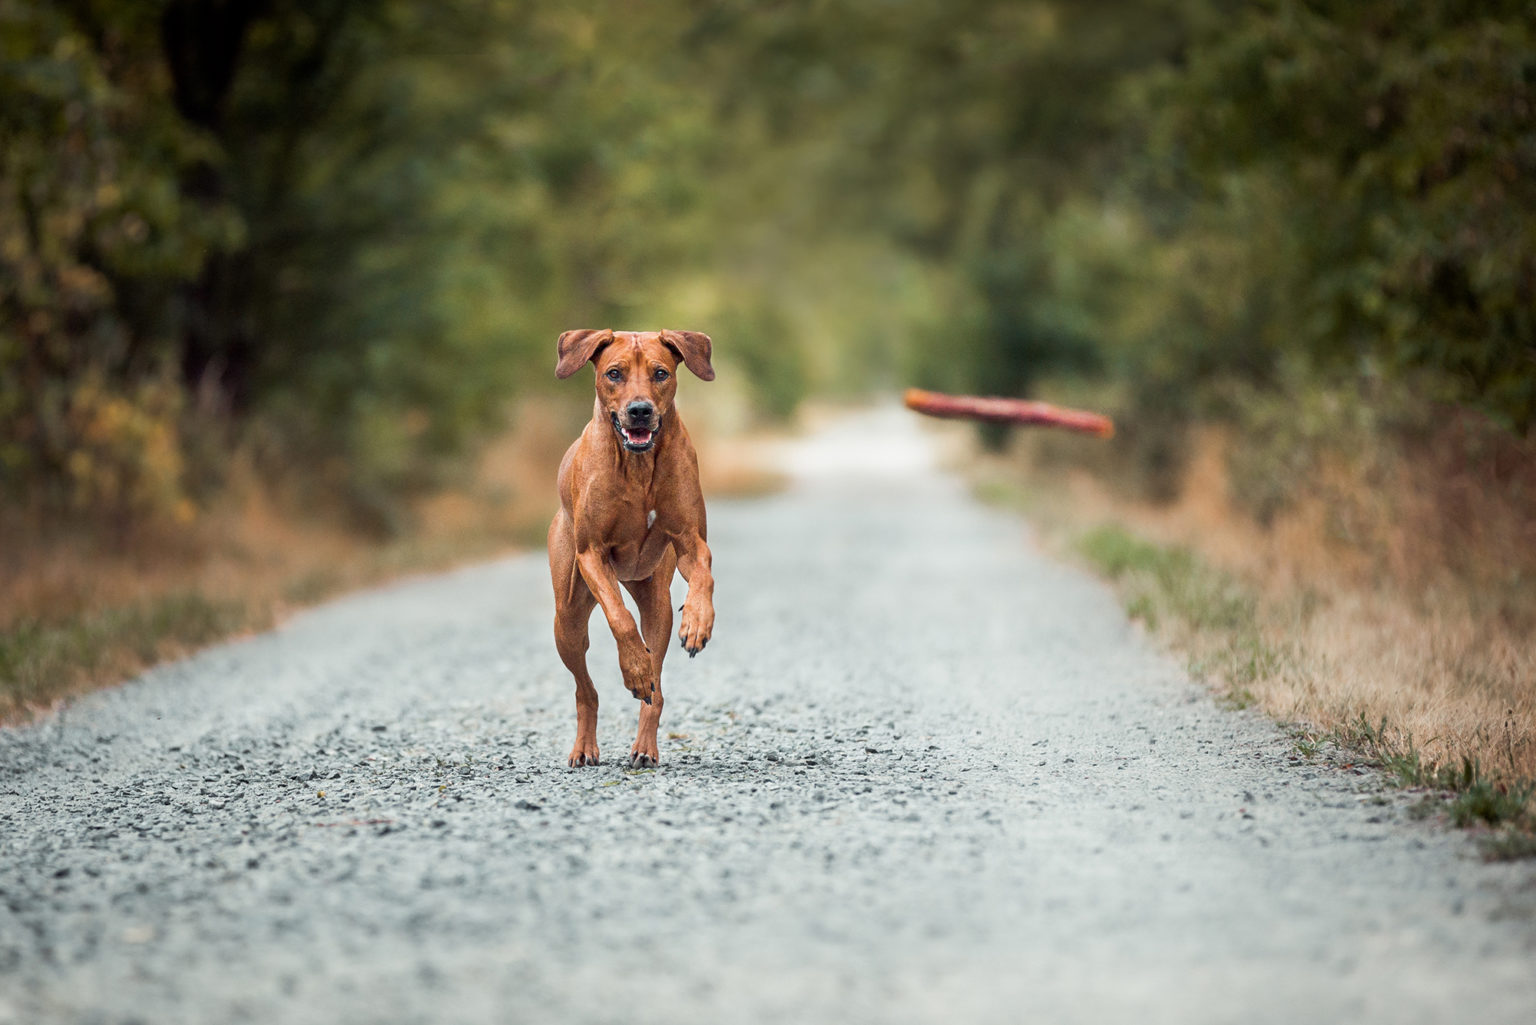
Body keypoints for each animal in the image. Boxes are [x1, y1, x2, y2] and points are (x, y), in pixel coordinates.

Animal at [549, 328, 715, 768]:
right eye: (614, 373)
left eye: (660, 373)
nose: (639, 411)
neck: (638, 466)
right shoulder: (591, 553)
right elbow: (620, 619)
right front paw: (634, 668)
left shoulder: (690, 540)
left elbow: (704, 575)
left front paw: (698, 622)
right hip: (567, 620)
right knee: (585, 689)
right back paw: (586, 745)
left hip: (656, 601)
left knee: (654, 688)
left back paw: (645, 744)